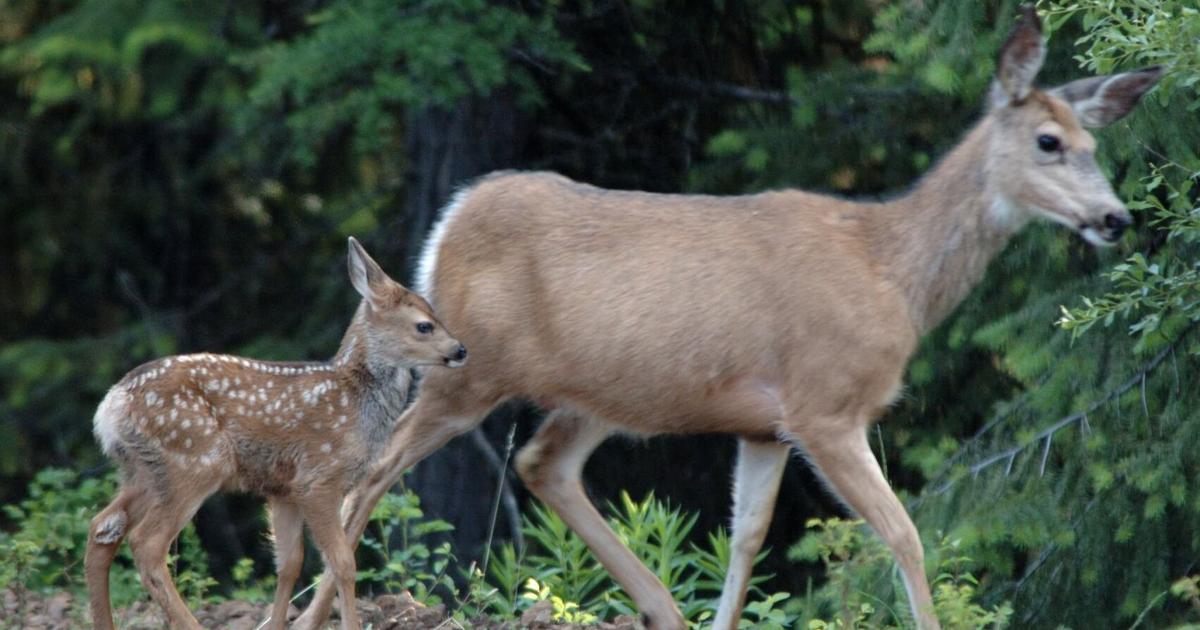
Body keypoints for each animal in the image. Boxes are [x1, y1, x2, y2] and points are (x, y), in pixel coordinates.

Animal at [84, 237, 467, 630]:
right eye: (424, 326)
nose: (460, 350)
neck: (355, 402)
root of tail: (111, 405)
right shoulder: (318, 479)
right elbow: (343, 562)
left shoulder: (284, 490)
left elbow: (289, 564)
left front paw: (277, 623)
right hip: (194, 463)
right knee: (146, 544)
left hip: (142, 471)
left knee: (102, 529)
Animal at [292, 8, 1162, 630]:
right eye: (1049, 141)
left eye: (1095, 142)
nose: (1115, 218)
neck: (892, 272)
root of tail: (446, 225)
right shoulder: (824, 405)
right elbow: (905, 533)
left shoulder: (763, 425)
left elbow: (748, 536)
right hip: (465, 369)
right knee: (364, 479)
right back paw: (310, 618)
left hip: (596, 392)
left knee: (541, 464)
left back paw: (662, 610)